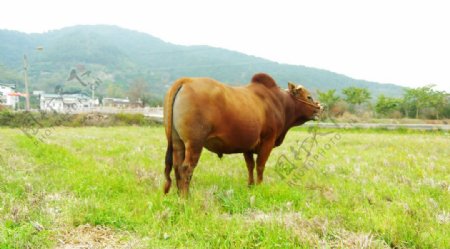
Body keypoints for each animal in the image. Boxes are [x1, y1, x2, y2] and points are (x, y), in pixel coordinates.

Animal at [163, 73, 322, 197]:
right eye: (308, 97)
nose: (320, 108)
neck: (280, 103)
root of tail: (186, 80)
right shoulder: (268, 141)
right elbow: (260, 165)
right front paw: (259, 186)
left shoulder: (248, 146)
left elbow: (250, 166)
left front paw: (250, 186)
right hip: (195, 143)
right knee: (186, 168)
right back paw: (186, 197)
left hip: (177, 142)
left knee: (176, 167)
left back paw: (178, 194)